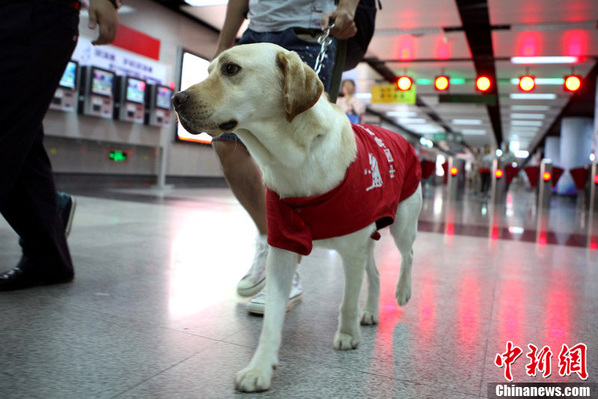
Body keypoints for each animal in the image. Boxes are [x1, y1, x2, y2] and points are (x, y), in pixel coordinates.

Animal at [173, 43, 424, 394]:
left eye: (231, 69)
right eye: (208, 70)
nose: (176, 98)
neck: (293, 159)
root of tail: (397, 136)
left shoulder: (351, 250)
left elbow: (347, 299)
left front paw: (347, 334)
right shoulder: (283, 245)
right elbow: (272, 318)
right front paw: (260, 367)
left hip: (402, 223)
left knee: (408, 254)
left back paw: (401, 291)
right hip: (368, 238)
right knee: (374, 275)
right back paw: (371, 312)